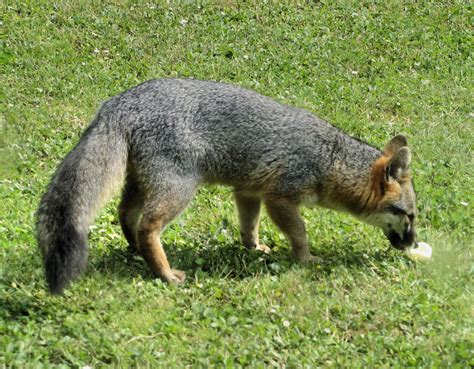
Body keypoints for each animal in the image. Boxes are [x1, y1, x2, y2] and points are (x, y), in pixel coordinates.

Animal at [36, 77, 414, 294]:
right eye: (407, 216)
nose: (413, 243)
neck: (330, 157)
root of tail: (120, 102)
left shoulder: (249, 192)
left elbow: (249, 226)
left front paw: (254, 248)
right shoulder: (281, 196)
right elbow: (300, 233)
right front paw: (306, 259)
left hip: (140, 185)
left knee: (125, 213)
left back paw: (136, 254)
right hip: (178, 190)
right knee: (147, 226)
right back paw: (165, 274)